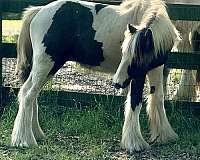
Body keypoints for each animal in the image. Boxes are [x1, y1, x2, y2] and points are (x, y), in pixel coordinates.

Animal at [13, 0, 180, 151]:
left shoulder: (155, 68)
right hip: (45, 65)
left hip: (48, 68)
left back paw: (36, 134)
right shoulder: (139, 75)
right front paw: (134, 144)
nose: (117, 83)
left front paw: (165, 135)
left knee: (29, 94)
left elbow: (158, 97)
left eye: (136, 58)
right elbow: (135, 102)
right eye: (124, 52)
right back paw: (25, 140)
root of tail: (38, 11)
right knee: (28, 96)